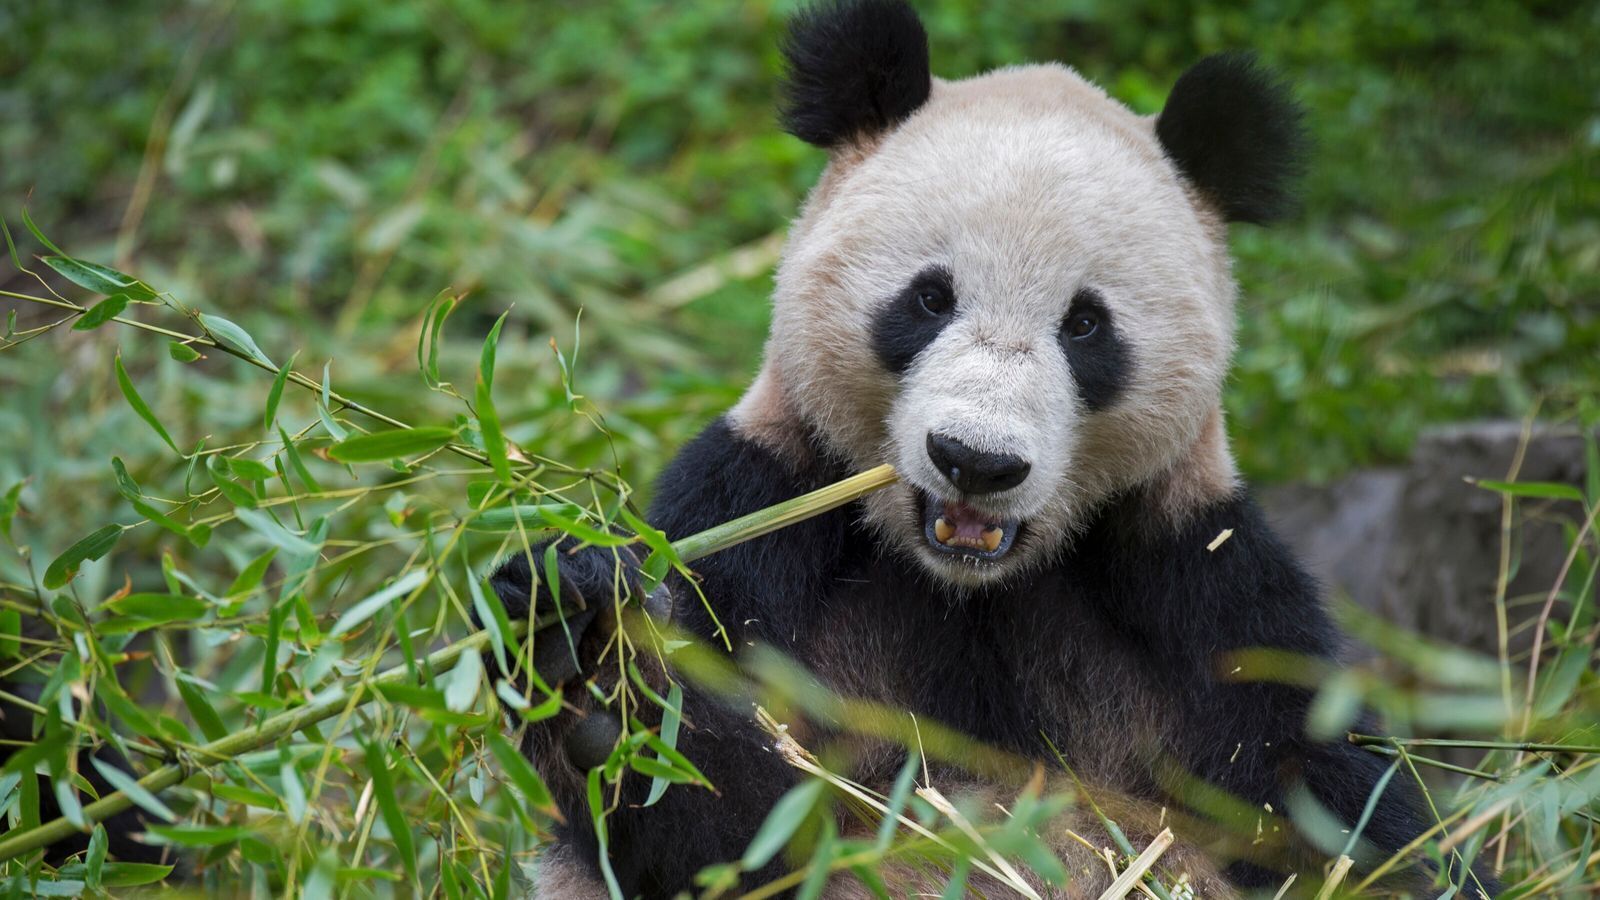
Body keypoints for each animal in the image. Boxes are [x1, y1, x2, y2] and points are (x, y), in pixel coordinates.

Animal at [489, 1, 1478, 897]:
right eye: (929, 299)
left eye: (1085, 325)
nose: (976, 460)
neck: (967, 587)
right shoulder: (760, 509)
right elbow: (729, 829)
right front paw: (586, 663)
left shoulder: (1196, 577)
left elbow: (1334, 814)